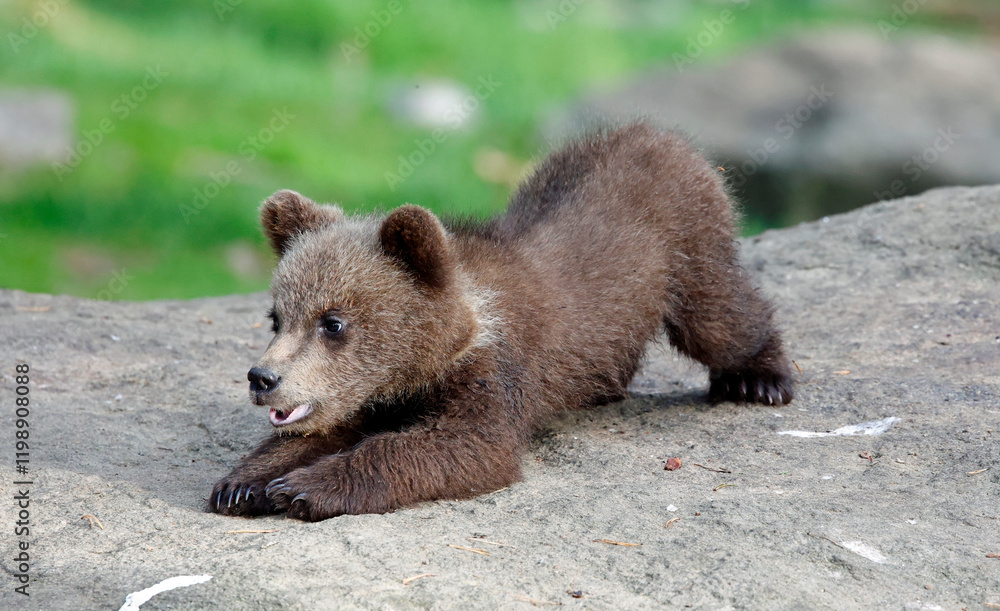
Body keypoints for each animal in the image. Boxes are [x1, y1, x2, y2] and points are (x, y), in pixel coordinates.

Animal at [209, 122, 793, 521]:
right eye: (277, 316)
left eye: (332, 322)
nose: (263, 378)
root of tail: (664, 135)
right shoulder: (373, 395)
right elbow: (321, 428)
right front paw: (244, 482)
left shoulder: (491, 374)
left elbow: (463, 447)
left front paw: (305, 487)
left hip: (686, 252)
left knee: (721, 319)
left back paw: (761, 379)